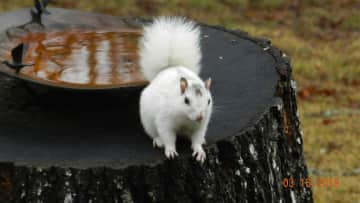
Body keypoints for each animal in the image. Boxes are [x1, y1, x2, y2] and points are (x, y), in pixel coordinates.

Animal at [137, 17, 211, 163]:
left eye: (209, 101)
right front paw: (170, 150)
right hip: (147, 122)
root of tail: (169, 68)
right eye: (186, 100)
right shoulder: (164, 120)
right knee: (154, 133)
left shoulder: (201, 126)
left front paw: (199, 150)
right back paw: (158, 140)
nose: (200, 116)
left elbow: (197, 138)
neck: (186, 118)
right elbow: (168, 137)